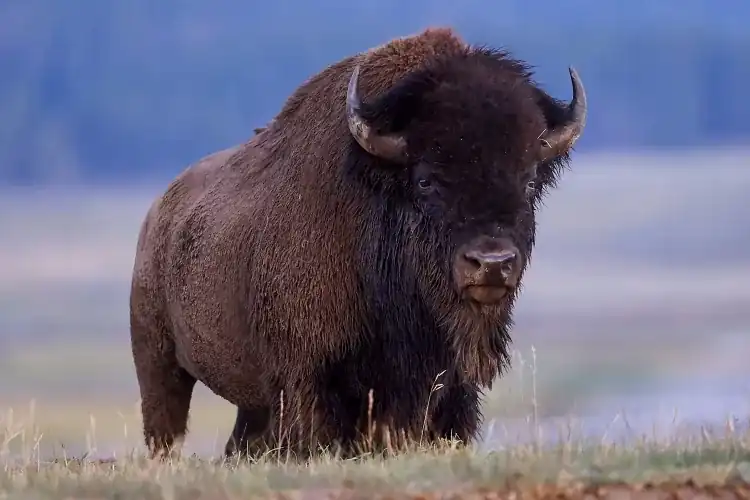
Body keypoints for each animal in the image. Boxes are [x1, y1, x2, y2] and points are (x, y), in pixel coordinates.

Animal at [129, 27, 587, 460]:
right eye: (425, 181)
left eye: (529, 181)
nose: (491, 263)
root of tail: (157, 213)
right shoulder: (310, 382)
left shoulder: (451, 390)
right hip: (158, 363)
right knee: (165, 425)